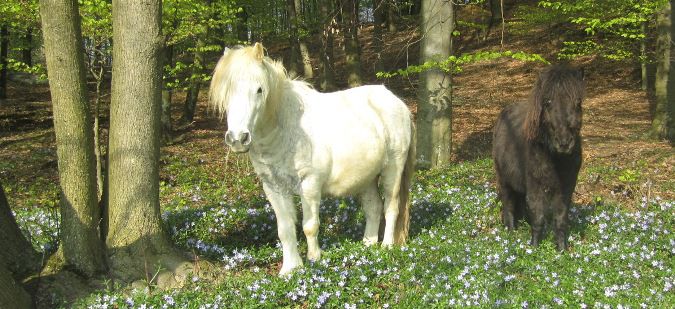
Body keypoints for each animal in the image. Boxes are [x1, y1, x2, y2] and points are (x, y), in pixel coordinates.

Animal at [209, 42, 414, 274]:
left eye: (259, 89)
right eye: (227, 91)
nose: (238, 138)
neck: (285, 131)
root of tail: (398, 103)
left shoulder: (310, 185)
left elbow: (310, 226)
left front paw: (314, 259)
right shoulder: (273, 188)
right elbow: (285, 229)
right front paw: (290, 269)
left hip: (392, 170)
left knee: (391, 206)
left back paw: (387, 247)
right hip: (367, 178)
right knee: (374, 207)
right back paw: (368, 245)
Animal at [492, 63, 588, 249]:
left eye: (578, 102)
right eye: (548, 102)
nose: (564, 142)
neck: (555, 159)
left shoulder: (565, 187)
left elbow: (560, 218)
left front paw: (562, 249)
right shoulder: (535, 186)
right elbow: (538, 217)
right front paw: (534, 247)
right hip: (504, 180)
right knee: (508, 205)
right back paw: (511, 232)